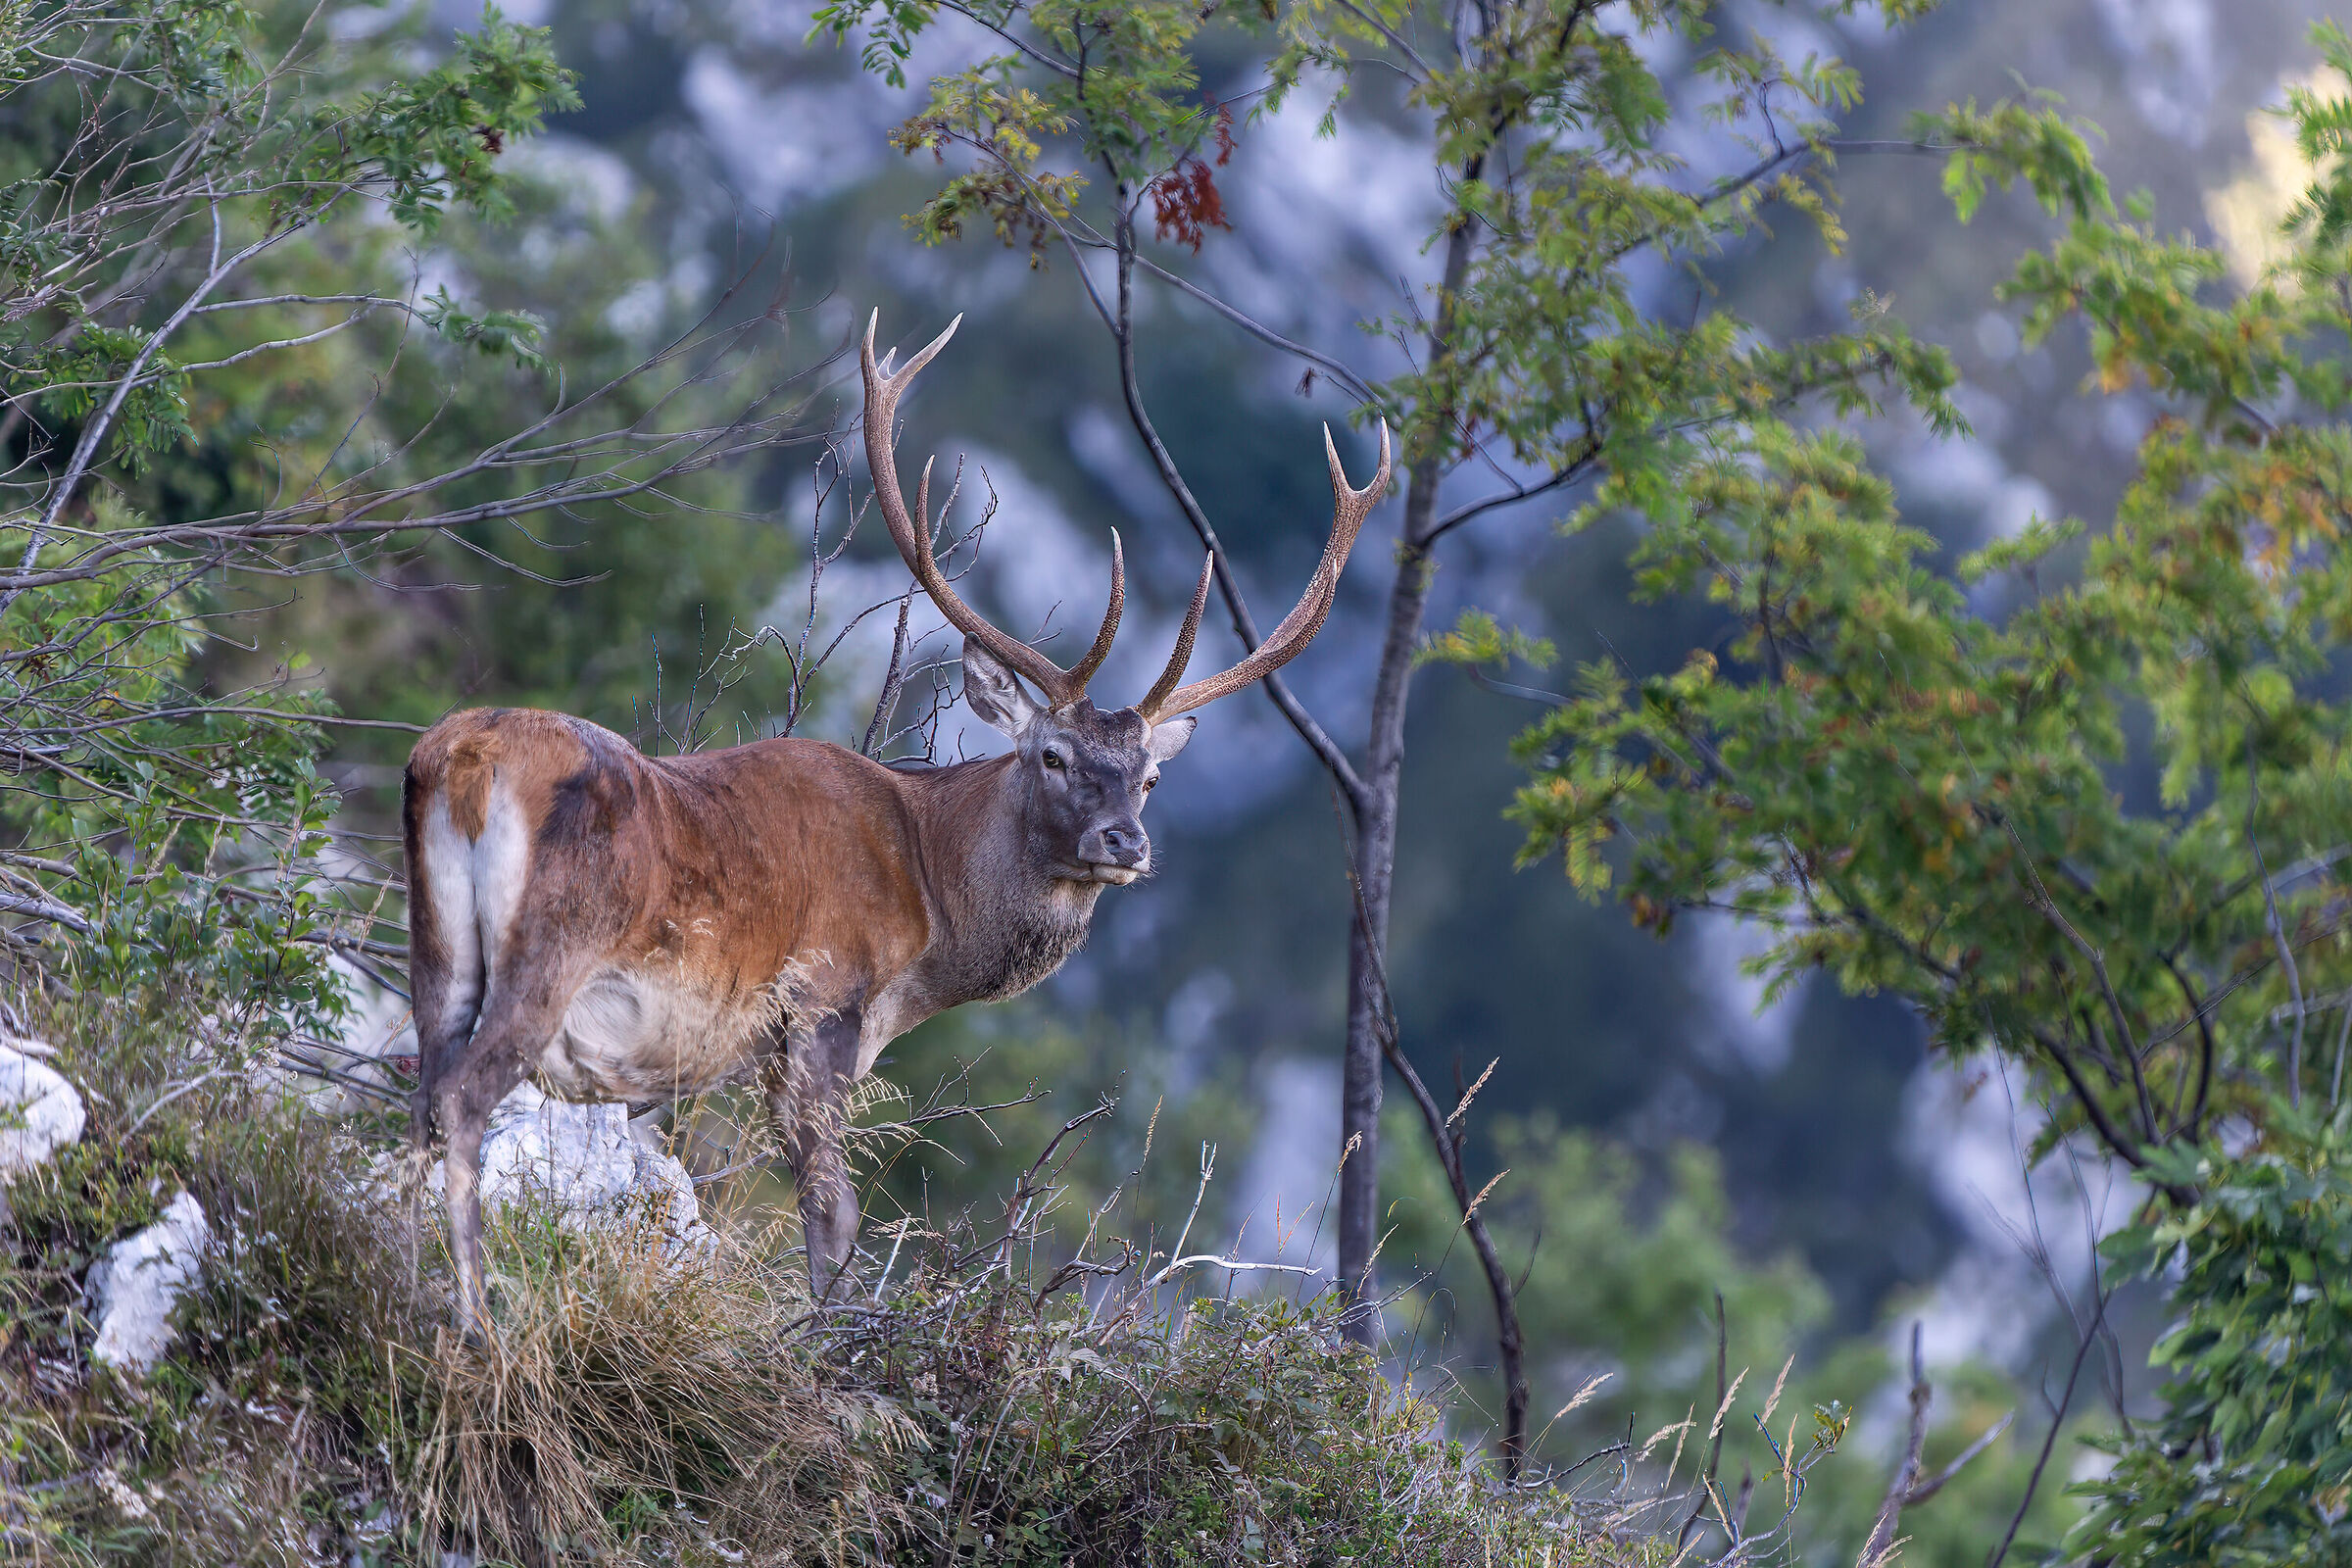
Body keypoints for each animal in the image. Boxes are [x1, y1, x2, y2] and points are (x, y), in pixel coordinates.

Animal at [400, 312, 1390, 1331]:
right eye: (1053, 756)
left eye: (1151, 778)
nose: (1127, 843)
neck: (928, 908)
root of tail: (463, 762)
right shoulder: (820, 1007)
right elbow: (832, 1221)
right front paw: (826, 1340)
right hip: (554, 946)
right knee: (466, 1101)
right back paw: (474, 1324)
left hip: (437, 942)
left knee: (426, 1099)